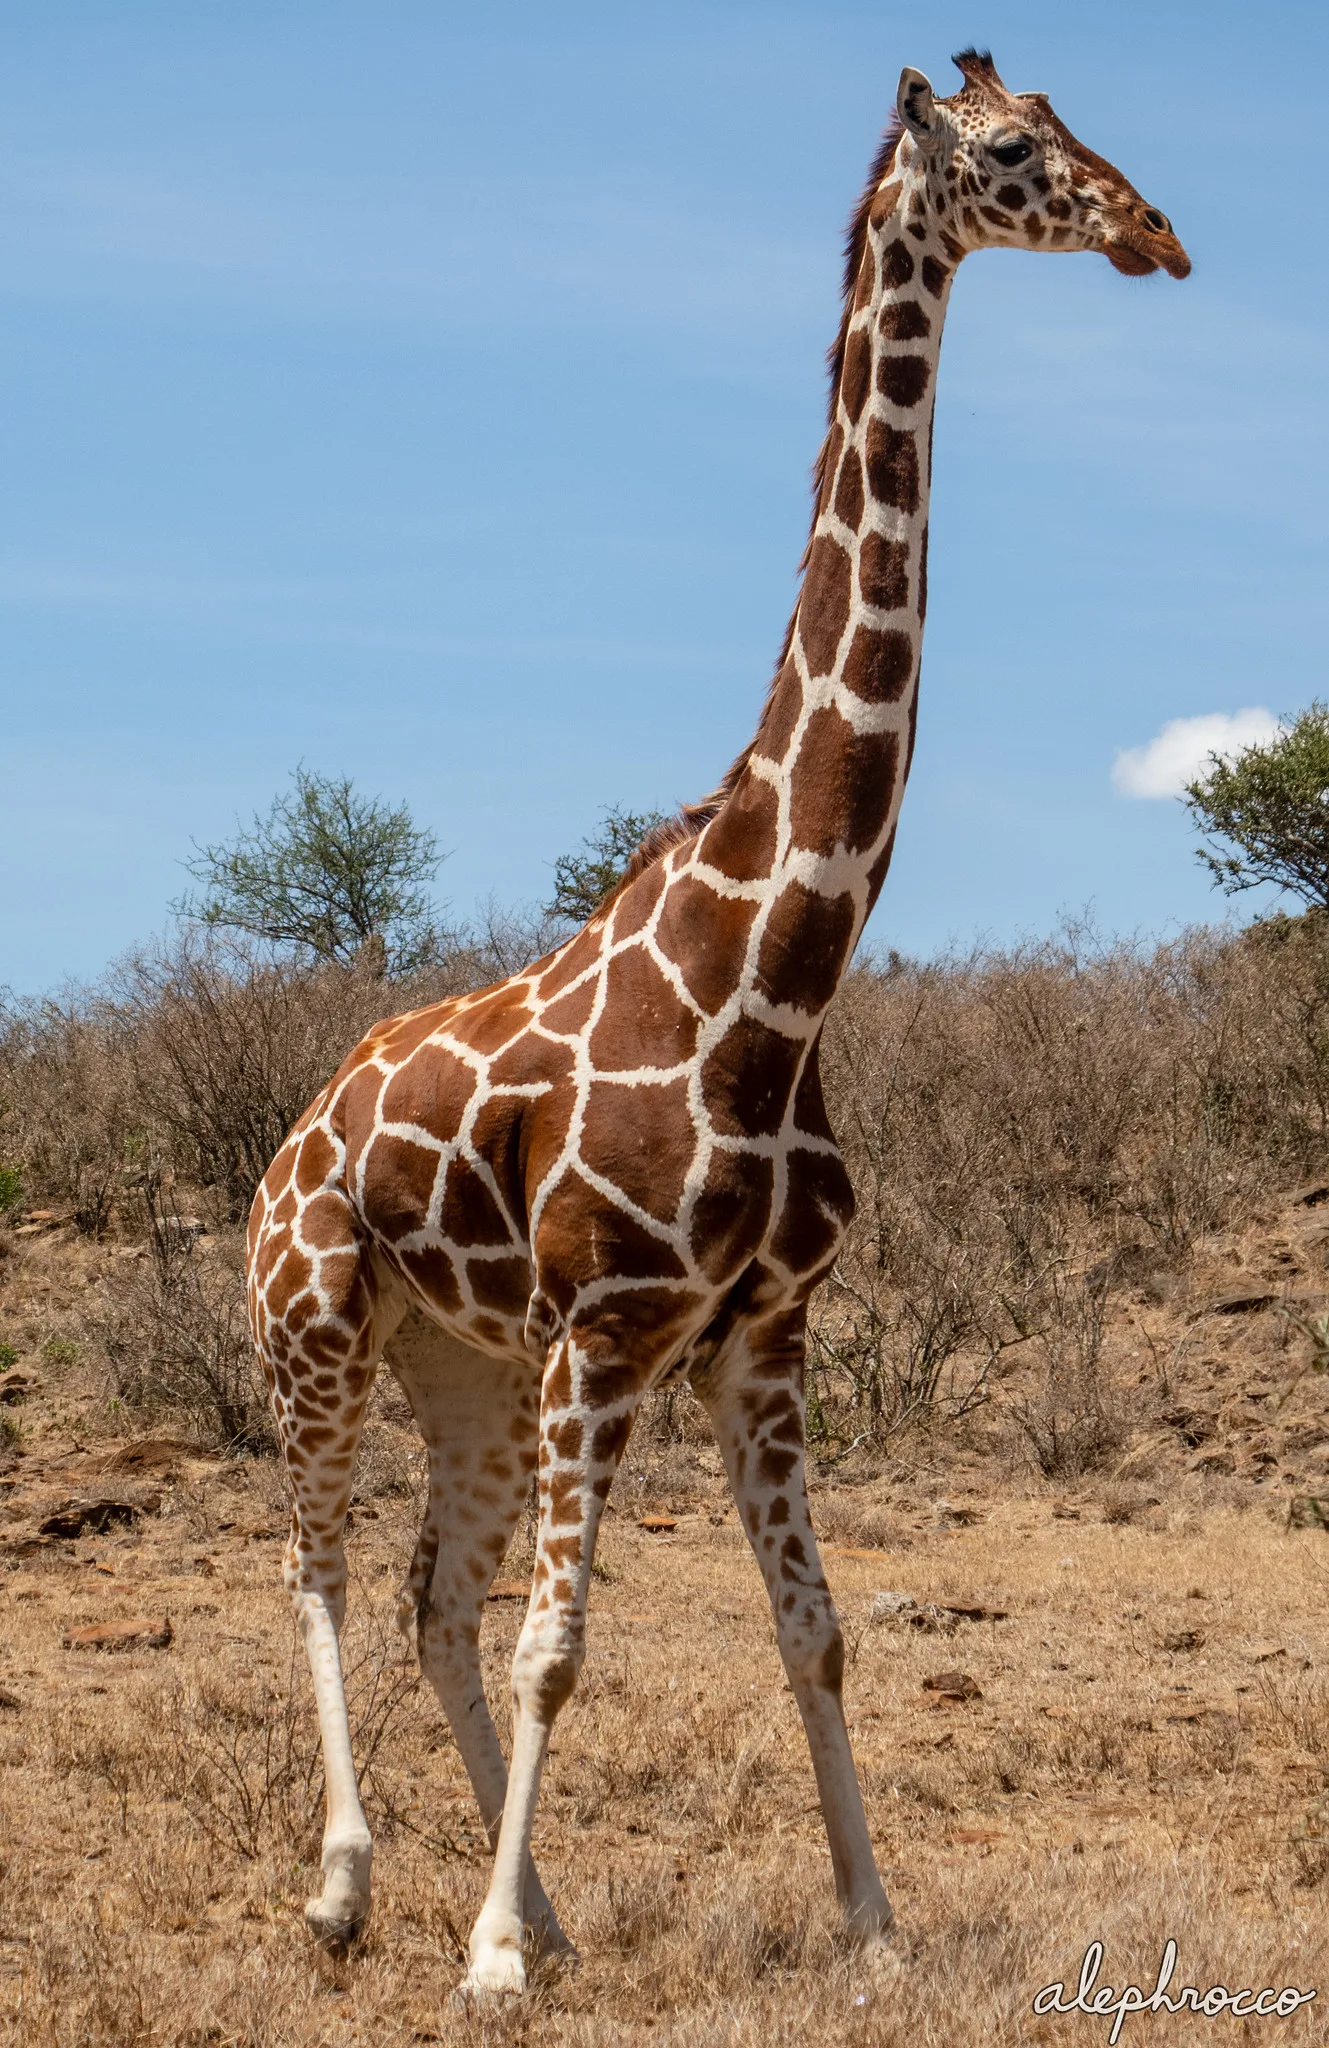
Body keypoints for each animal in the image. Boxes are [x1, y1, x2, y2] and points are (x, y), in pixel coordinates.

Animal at [247, 49, 1189, 1997]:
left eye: (1077, 123)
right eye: (1010, 151)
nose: (1156, 233)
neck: (776, 966)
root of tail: (290, 1138)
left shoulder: (759, 1333)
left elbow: (814, 1631)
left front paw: (874, 1928)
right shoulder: (608, 1330)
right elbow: (562, 1647)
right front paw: (483, 1964)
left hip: (462, 1365)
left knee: (430, 1598)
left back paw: (536, 1902)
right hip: (318, 1331)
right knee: (317, 1569)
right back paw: (353, 1889)